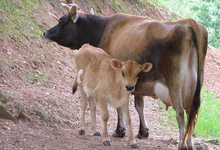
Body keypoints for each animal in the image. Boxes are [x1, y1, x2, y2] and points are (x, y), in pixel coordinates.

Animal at [43, 3, 208, 150]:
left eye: (61, 21)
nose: (45, 33)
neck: (102, 28)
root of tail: (189, 23)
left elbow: (118, 107)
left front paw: (119, 130)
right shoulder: (135, 82)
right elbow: (139, 106)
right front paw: (142, 132)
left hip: (175, 82)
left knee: (180, 113)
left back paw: (182, 145)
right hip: (193, 89)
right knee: (192, 113)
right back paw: (190, 144)